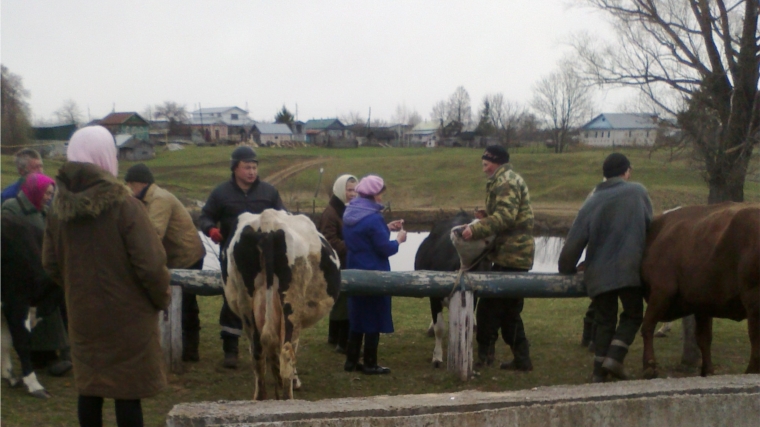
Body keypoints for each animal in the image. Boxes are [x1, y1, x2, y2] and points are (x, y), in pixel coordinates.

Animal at [224, 211, 340, 402]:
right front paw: (295, 381)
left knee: (258, 353)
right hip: (291, 304)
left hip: (247, 305)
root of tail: (267, 221)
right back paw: (287, 398)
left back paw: (261, 397)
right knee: (286, 353)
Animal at [640, 202, 760, 380]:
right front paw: (708, 370)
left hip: (753, 299)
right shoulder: (702, 303)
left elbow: (647, 325)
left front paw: (649, 366)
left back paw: (750, 371)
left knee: (755, 337)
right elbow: (704, 338)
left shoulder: (662, 290)